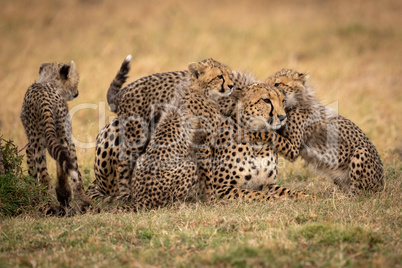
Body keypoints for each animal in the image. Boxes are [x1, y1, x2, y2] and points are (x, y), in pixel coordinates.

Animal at [20, 61, 91, 209]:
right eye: (76, 81)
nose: (77, 93)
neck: (49, 81)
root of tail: (42, 98)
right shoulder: (69, 140)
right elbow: (75, 170)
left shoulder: (30, 145)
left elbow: (32, 172)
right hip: (59, 135)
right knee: (59, 168)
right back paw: (64, 195)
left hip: (38, 140)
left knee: (45, 175)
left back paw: (51, 203)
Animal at [253, 69, 384, 194]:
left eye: (277, 83)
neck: (296, 102)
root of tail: (382, 183)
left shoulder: (293, 149)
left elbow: (271, 134)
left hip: (361, 152)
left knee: (360, 192)